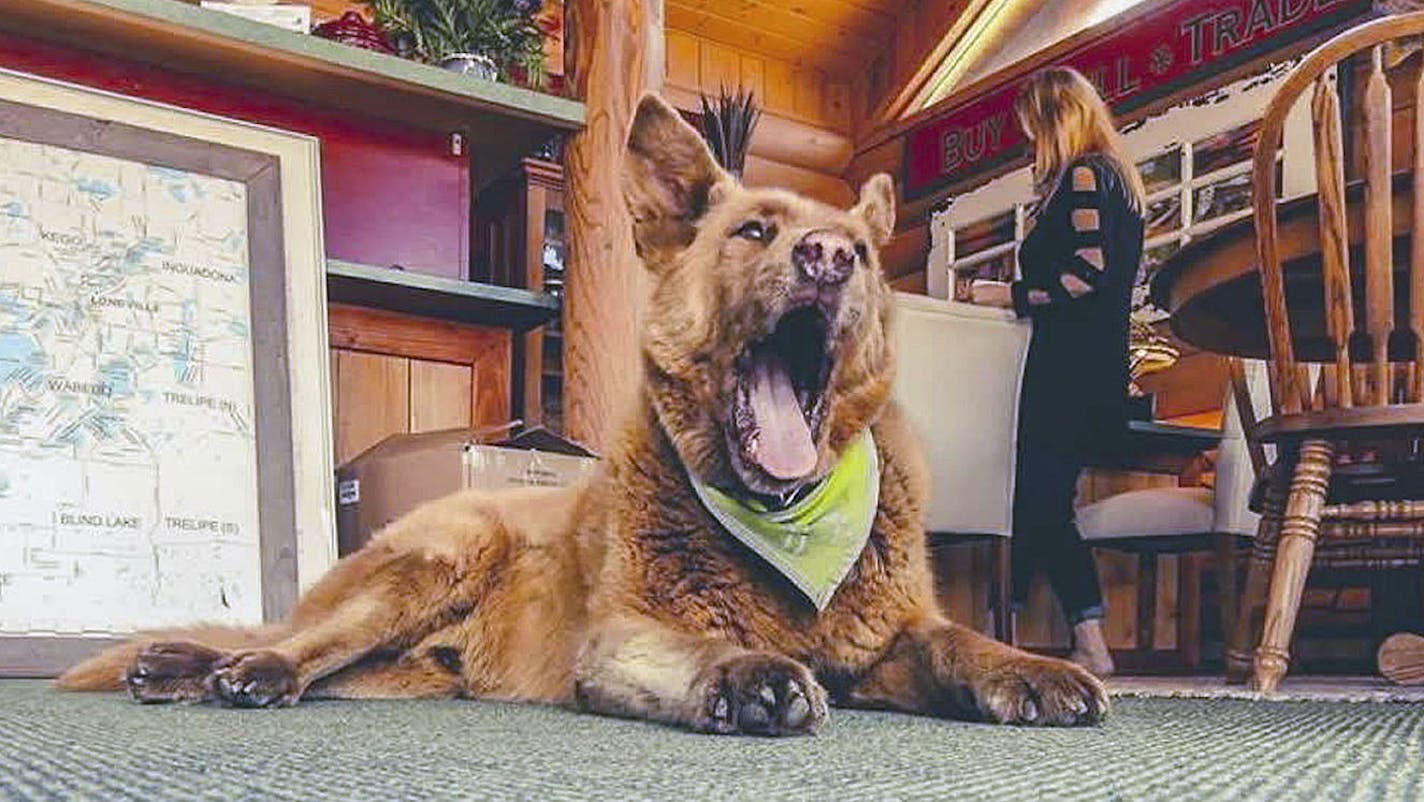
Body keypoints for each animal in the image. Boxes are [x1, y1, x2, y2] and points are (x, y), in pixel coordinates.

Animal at [55, 92, 1105, 735]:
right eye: (753, 231)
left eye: (862, 251)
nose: (828, 259)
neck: (785, 521)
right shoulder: (621, 638)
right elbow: (705, 644)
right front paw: (747, 671)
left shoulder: (882, 642)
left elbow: (953, 640)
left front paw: (1031, 667)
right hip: (438, 559)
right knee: (295, 644)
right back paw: (224, 669)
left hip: (410, 656)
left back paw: (182, 665)